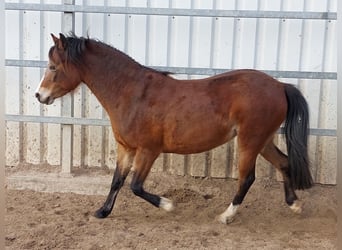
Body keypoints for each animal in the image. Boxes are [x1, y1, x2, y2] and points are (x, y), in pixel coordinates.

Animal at [35, 33, 312, 223]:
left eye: (53, 67)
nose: (40, 95)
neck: (132, 93)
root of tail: (279, 86)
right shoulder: (126, 148)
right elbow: (117, 181)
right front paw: (102, 211)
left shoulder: (149, 150)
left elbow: (135, 186)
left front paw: (168, 205)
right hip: (262, 140)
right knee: (284, 162)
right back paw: (295, 205)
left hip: (249, 141)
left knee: (247, 178)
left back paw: (226, 216)